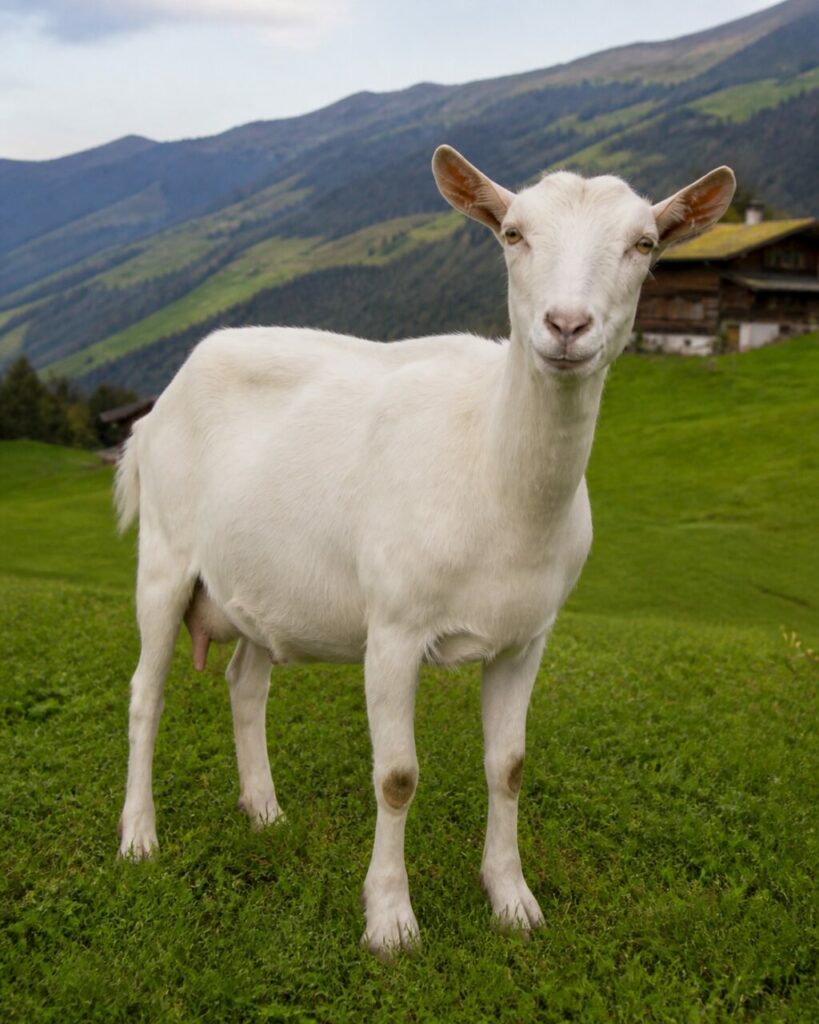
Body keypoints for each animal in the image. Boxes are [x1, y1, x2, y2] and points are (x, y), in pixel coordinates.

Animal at [115, 145, 735, 955]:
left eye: (645, 243)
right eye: (512, 233)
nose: (567, 325)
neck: (496, 479)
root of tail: (162, 400)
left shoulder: (526, 638)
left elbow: (509, 766)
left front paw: (512, 900)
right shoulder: (394, 628)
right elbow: (397, 776)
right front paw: (390, 921)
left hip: (262, 581)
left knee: (245, 682)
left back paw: (265, 811)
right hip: (163, 553)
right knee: (145, 692)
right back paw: (138, 837)